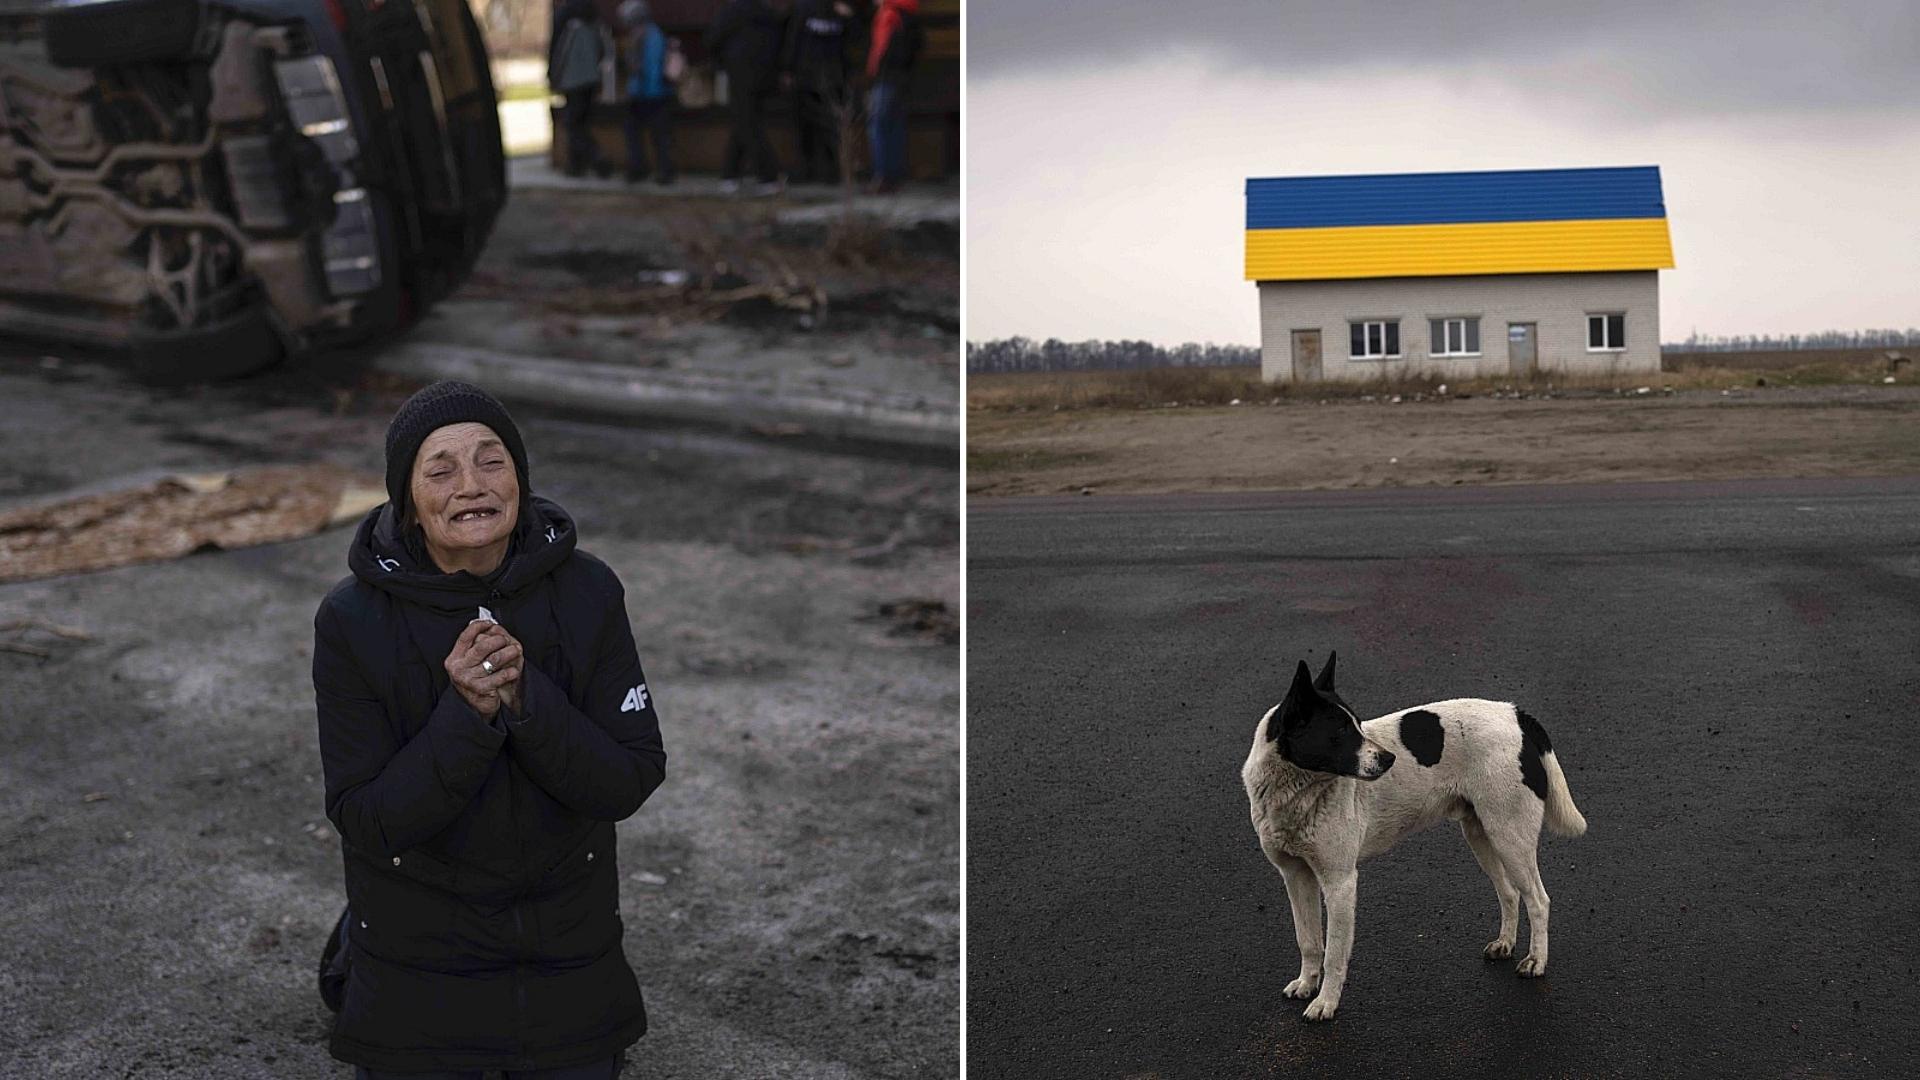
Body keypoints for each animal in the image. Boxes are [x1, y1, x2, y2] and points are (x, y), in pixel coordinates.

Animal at [1244, 653, 1589, 1014]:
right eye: (1340, 731)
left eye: (1357, 725)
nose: (1389, 759)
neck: (1297, 790)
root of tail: (1516, 715)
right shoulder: (1296, 876)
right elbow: (1309, 941)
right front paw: (1306, 984)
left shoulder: (1340, 883)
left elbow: (1335, 953)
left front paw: (1326, 1002)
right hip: (1482, 836)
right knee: (1509, 892)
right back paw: (1505, 943)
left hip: (1510, 838)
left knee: (1538, 900)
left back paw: (1536, 961)